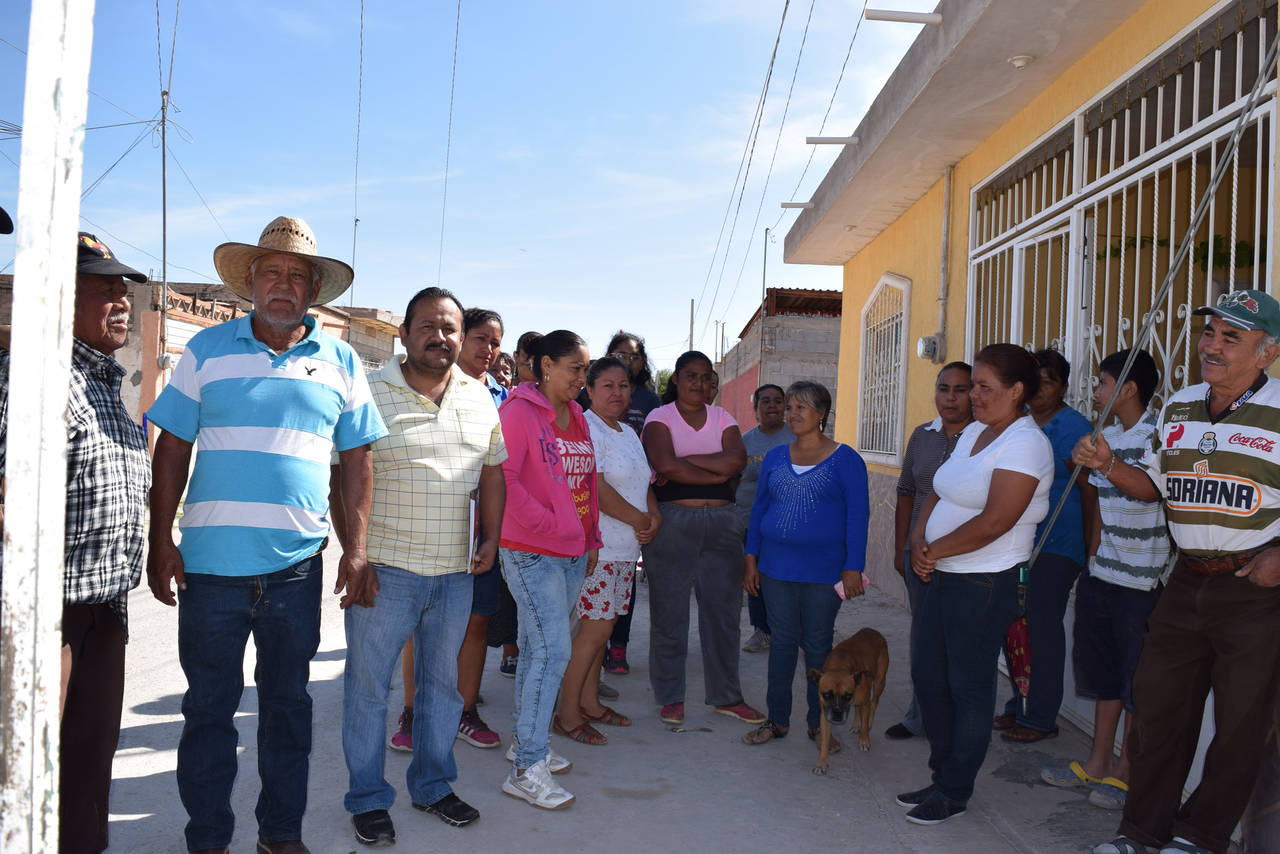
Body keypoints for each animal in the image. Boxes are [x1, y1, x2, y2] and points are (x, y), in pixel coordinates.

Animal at [806, 627, 888, 775]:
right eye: (826, 695)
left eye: (847, 696)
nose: (837, 712)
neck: (840, 666)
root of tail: (873, 631)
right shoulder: (825, 716)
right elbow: (825, 742)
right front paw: (822, 763)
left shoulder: (865, 702)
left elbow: (865, 720)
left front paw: (864, 740)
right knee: (857, 708)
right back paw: (856, 724)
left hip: (880, 682)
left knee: (874, 703)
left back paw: (868, 723)